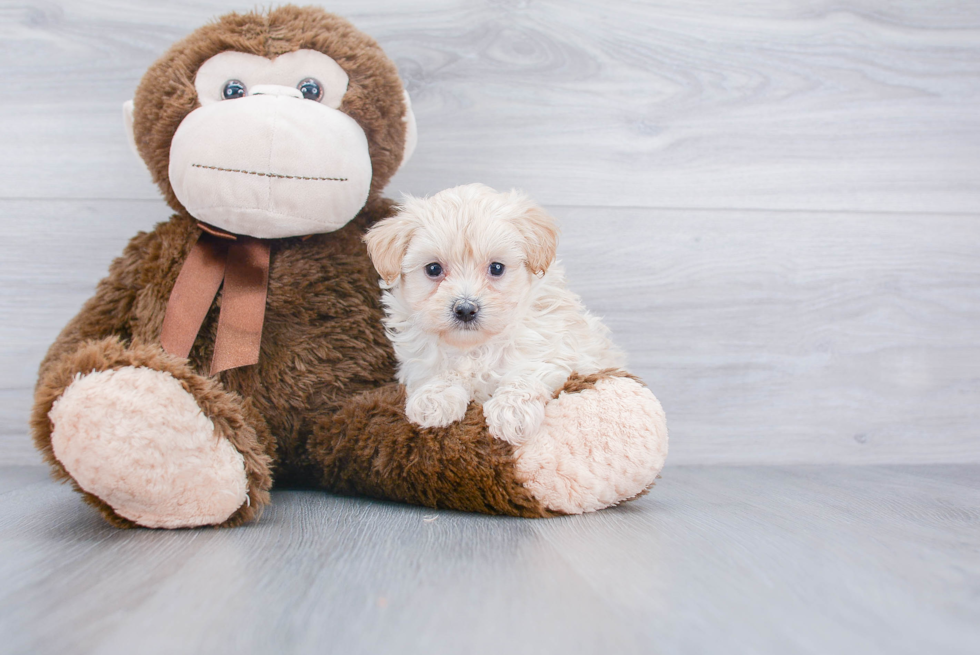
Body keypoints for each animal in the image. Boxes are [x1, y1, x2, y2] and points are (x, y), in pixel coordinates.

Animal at [364, 184, 624, 446]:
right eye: (433, 269)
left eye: (497, 268)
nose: (465, 309)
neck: (477, 347)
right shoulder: (419, 362)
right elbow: (441, 371)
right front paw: (434, 397)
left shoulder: (555, 347)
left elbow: (529, 370)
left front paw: (512, 411)